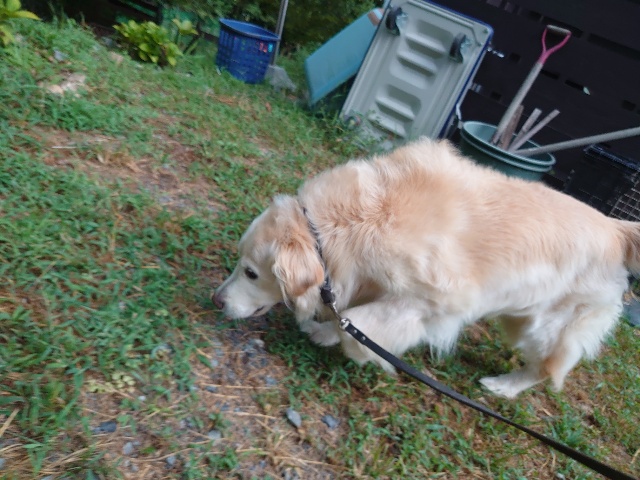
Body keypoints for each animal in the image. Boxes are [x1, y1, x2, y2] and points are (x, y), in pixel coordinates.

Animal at [213, 138, 639, 398]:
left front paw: (359, 350)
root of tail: (618, 229)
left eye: (251, 273)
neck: (347, 224)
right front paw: (325, 330)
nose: (215, 300)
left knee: (548, 368)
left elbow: (360, 325)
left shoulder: (433, 301)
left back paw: (502, 386)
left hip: (548, 326)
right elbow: (346, 315)